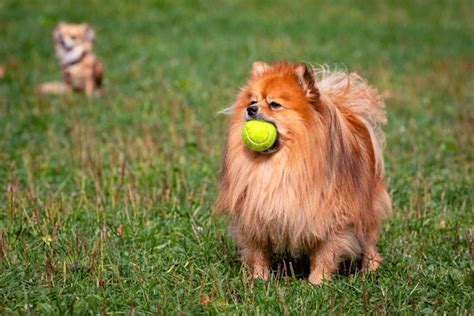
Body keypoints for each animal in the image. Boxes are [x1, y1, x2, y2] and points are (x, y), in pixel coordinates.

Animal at [217, 61, 390, 284]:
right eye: (253, 100)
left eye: (274, 104)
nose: (250, 109)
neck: (282, 165)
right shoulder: (255, 214)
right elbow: (258, 252)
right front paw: (259, 279)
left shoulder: (332, 216)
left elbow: (326, 252)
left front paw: (317, 282)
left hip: (365, 206)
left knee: (368, 239)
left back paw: (371, 267)